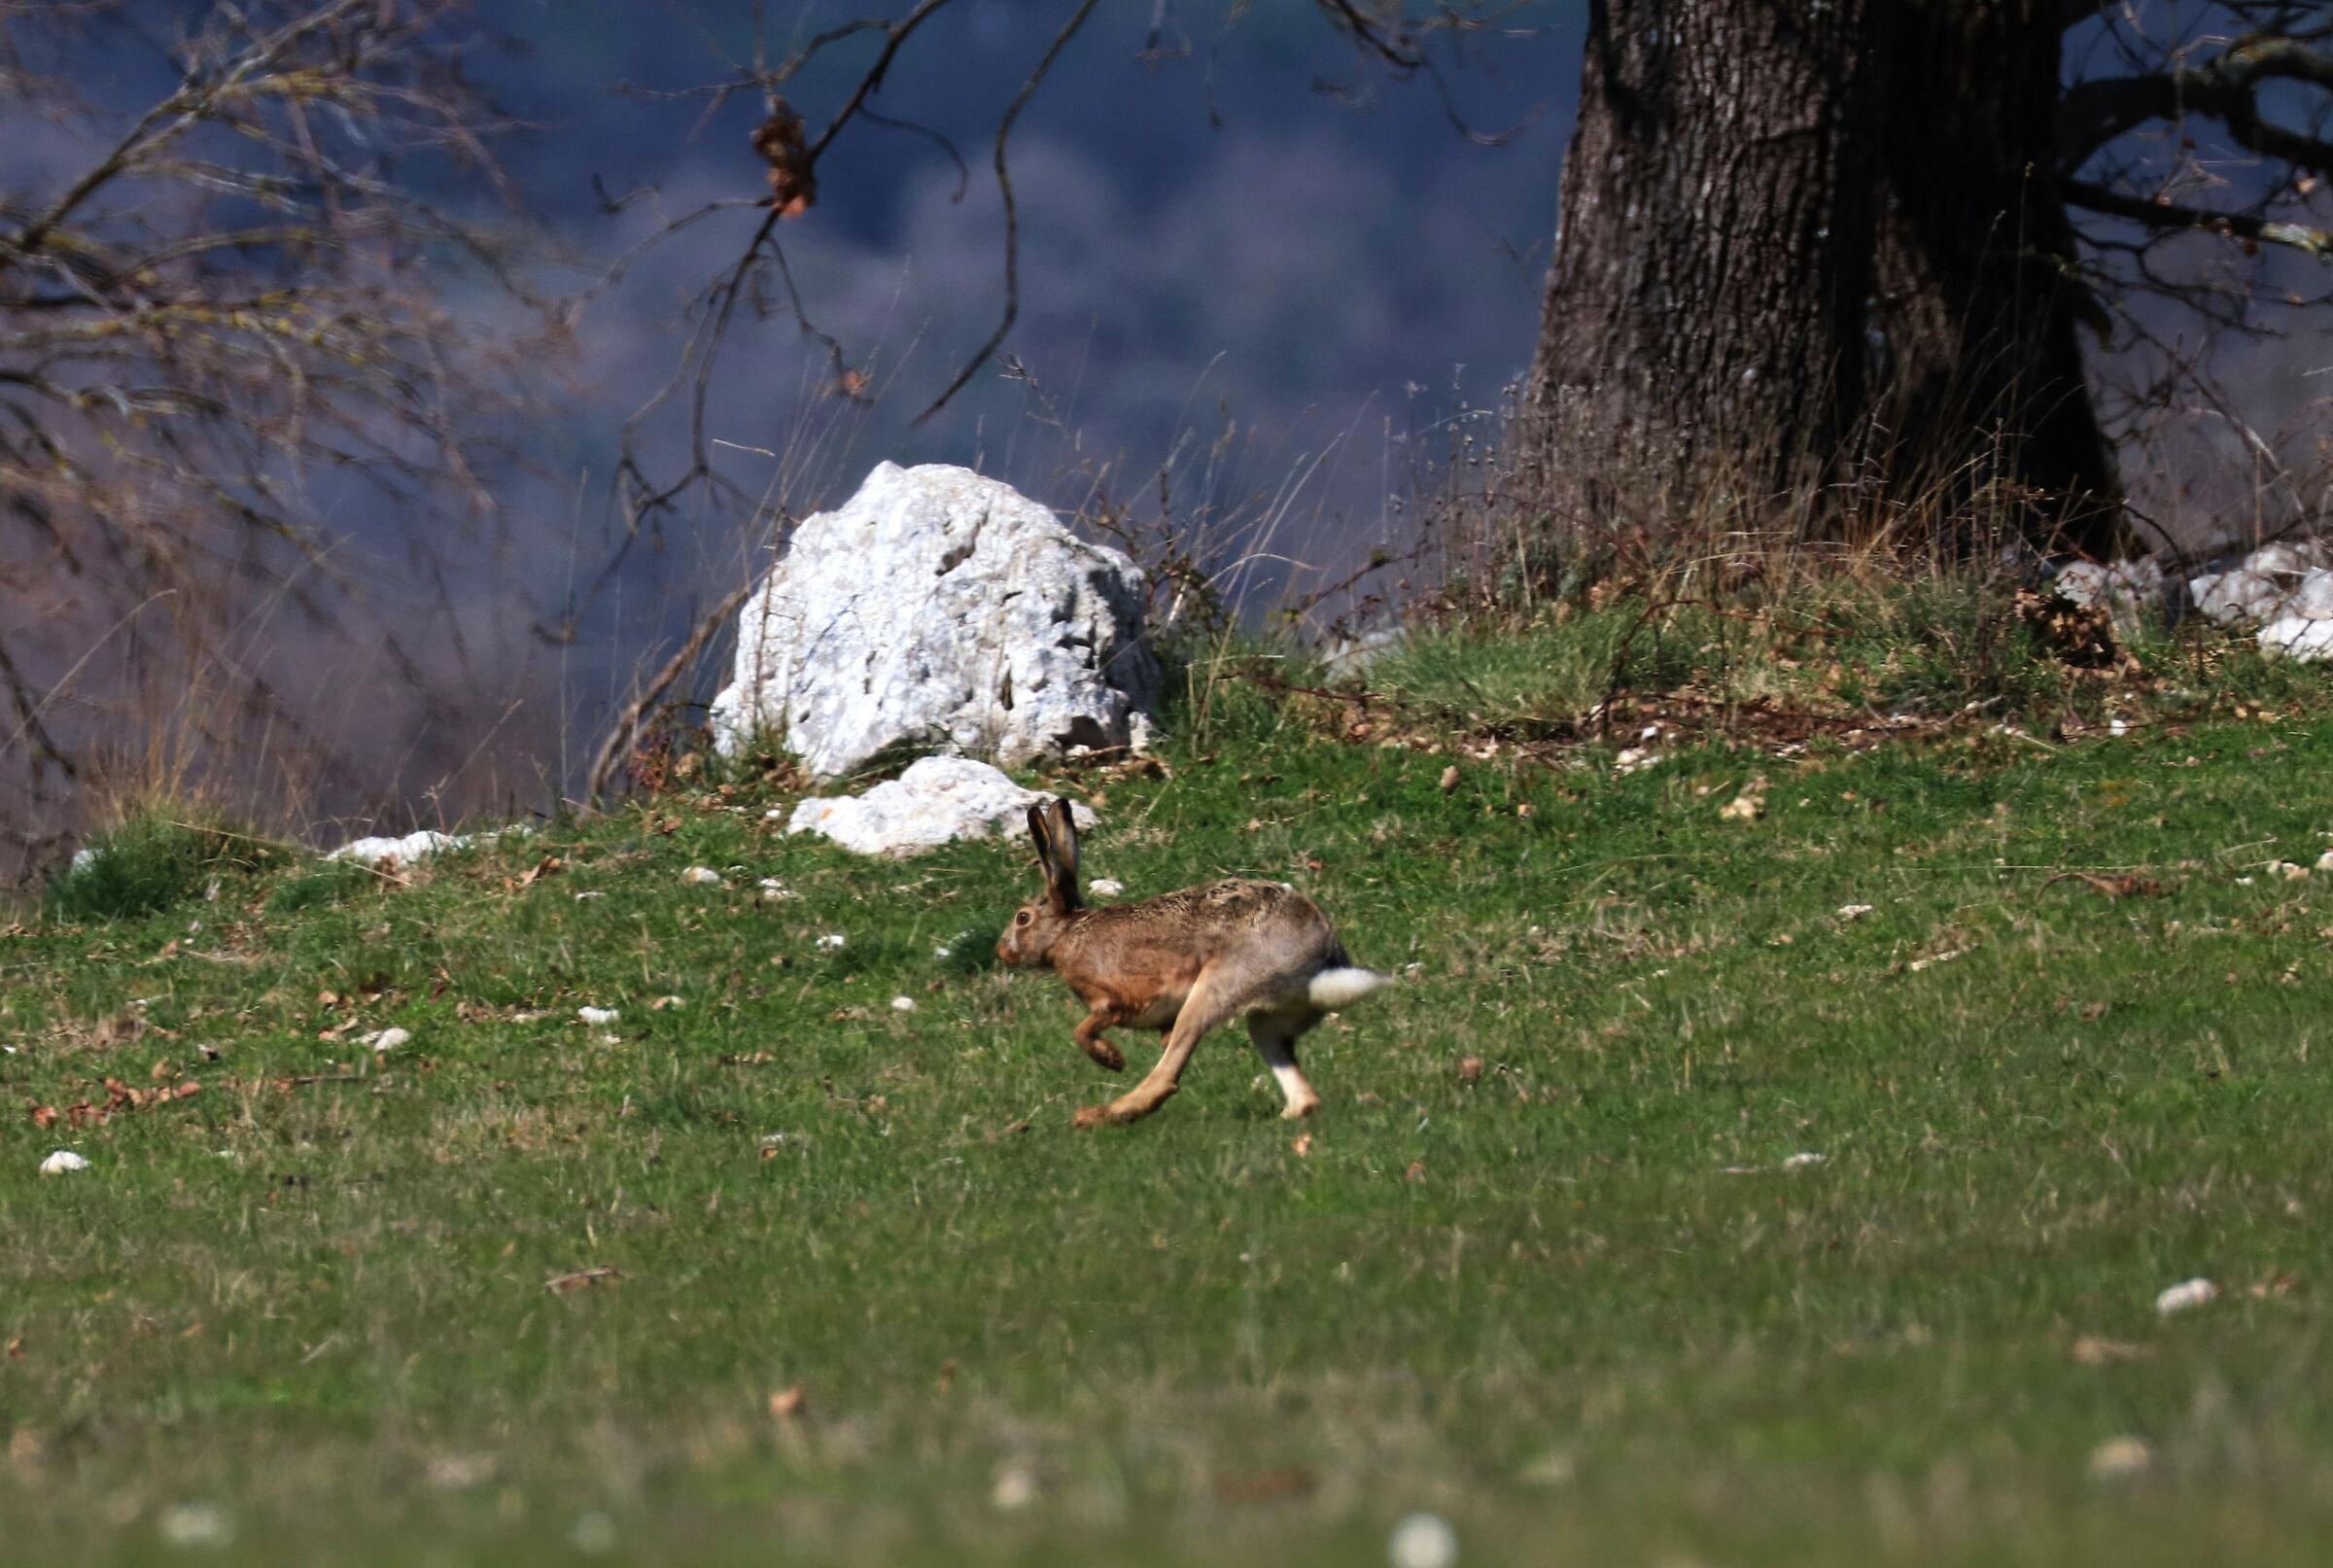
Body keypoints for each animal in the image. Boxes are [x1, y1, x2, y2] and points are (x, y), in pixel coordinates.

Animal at [995, 796, 1388, 1127]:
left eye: (1022, 918)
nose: (1002, 952)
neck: (1066, 934)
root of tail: (1323, 957)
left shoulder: (1115, 1000)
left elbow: (1084, 1030)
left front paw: (1112, 1059)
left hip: (1215, 989)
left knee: (1168, 1073)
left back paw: (1101, 1116)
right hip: (1267, 1021)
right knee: (1296, 1083)